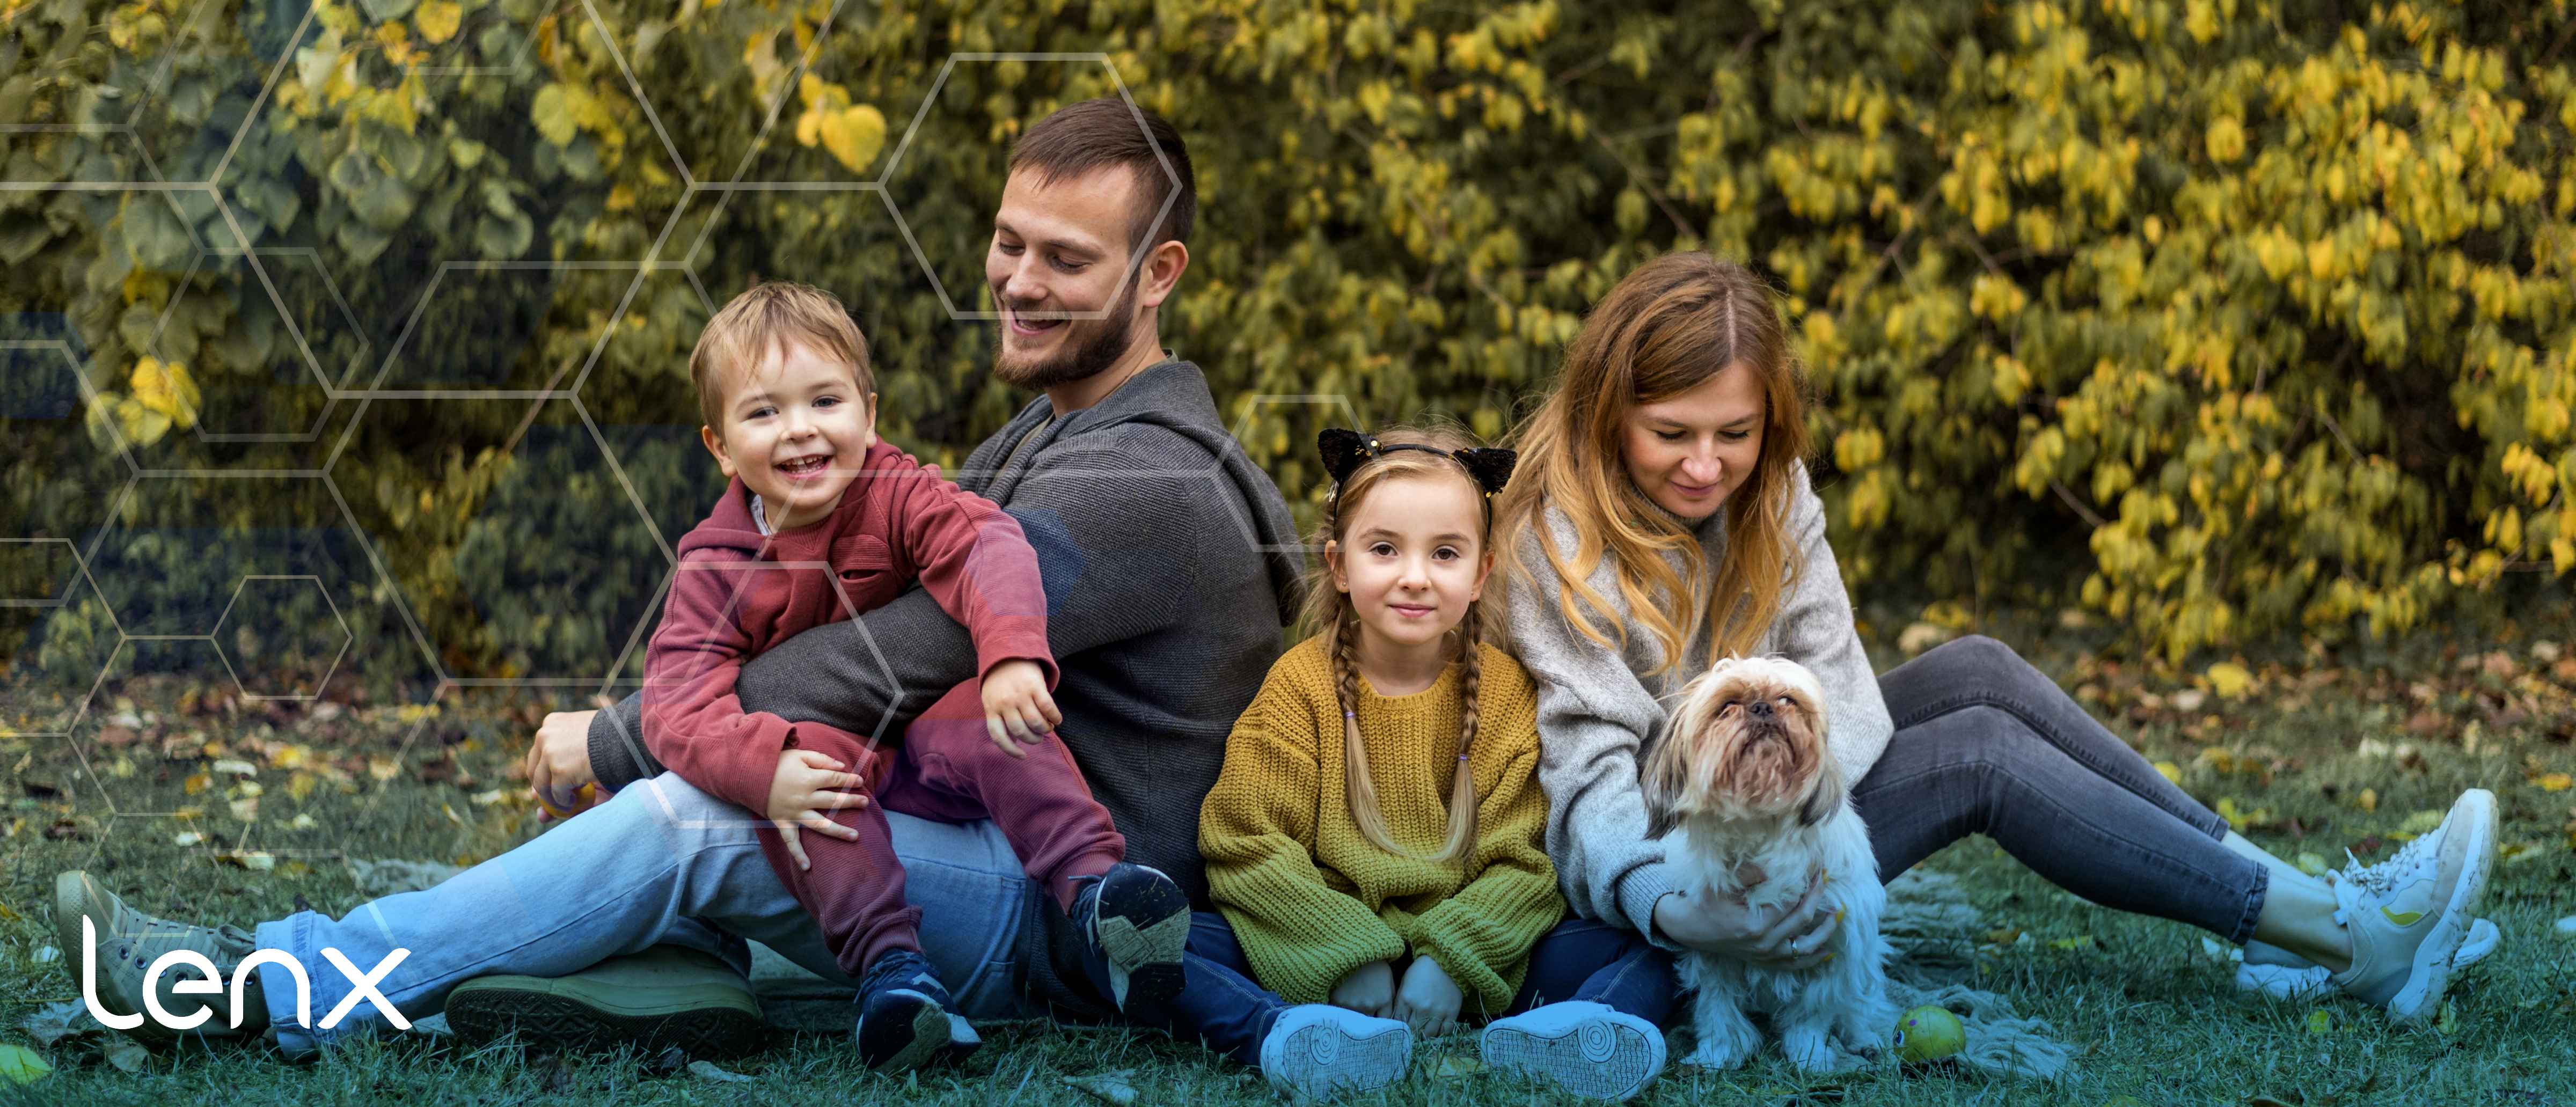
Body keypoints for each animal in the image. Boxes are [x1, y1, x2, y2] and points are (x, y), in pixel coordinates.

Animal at [1638, 654, 1906, 1066]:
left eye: (1787, 699)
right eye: (1727, 705)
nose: (1763, 707)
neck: (1759, 823)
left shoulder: (1834, 942)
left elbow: (1814, 1010)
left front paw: (1810, 1055)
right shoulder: (1714, 943)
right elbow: (1718, 1007)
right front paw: (1718, 1053)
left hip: (1864, 962)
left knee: (1860, 1005)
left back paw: (1863, 1039)